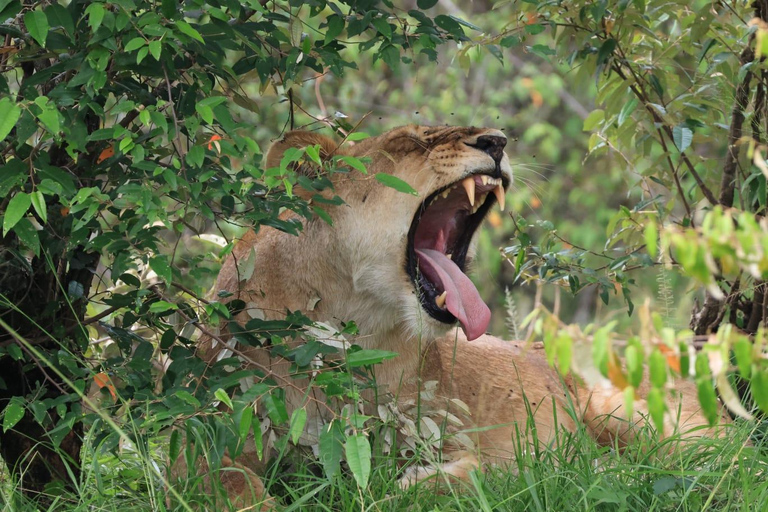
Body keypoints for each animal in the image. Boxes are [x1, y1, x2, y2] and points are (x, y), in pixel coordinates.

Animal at [194, 125, 728, 508]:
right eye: (407, 142)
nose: (497, 141)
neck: (352, 329)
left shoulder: (464, 443)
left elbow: (464, 478)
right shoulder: (204, 436)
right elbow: (233, 486)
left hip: (627, 410)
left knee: (711, 462)